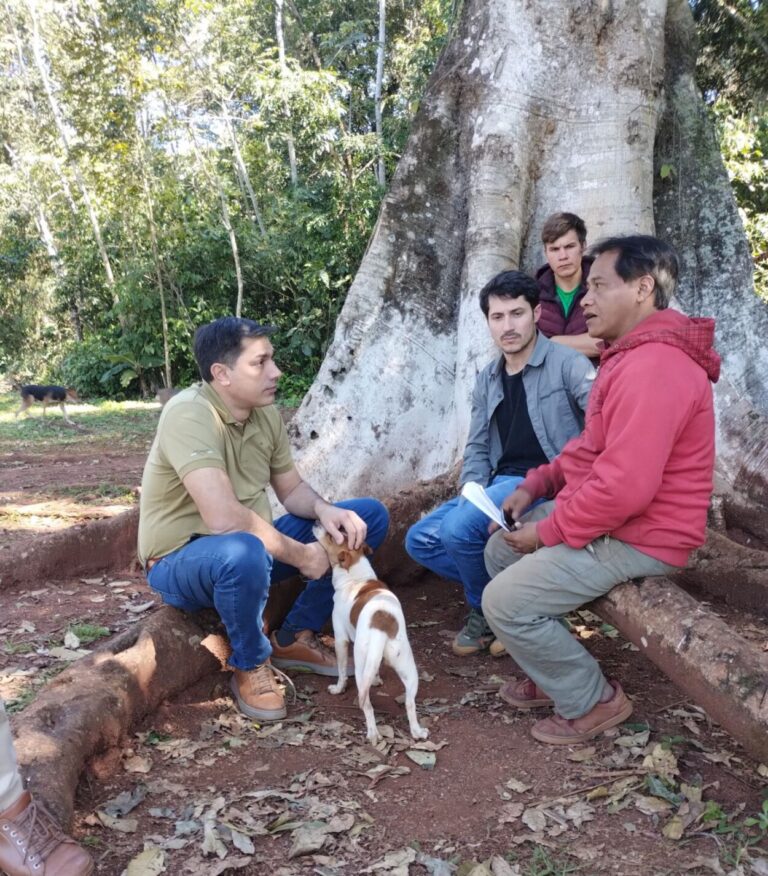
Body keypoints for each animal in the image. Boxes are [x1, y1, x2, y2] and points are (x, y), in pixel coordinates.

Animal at [314, 524, 432, 744]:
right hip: (408, 669)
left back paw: (373, 732)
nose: (317, 523)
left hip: (361, 666)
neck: (356, 577)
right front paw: (377, 680)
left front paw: (338, 688)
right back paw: (417, 731)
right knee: (410, 703)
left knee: (367, 705)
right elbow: (376, 671)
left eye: (332, 536)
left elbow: (341, 672)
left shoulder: (340, 639)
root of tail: (382, 624)